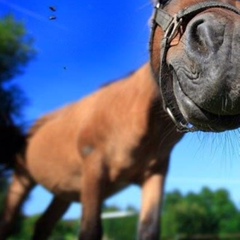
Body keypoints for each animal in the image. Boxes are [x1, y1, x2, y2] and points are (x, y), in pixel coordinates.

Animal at [2, 0, 240, 239]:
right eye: (159, 2)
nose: (229, 51)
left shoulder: (155, 175)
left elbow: (149, 229)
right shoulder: (93, 169)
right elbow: (90, 230)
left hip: (64, 192)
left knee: (43, 224)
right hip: (23, 180)